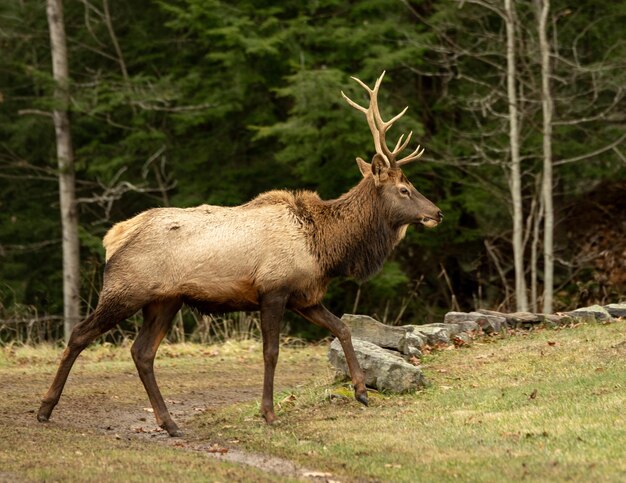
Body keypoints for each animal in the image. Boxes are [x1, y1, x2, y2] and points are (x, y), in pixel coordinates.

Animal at [36, 72, 442, 438]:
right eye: (404, 189)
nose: (436, 212)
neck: (325, 248)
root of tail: (113, 237)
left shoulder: (305, 296)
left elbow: (342, 328)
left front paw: (361, 391)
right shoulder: (273, 289)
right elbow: (271, 351)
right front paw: (269, 413)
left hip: (164, 301)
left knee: (142, 352)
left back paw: (170, 423)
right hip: (125, 289)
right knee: (80, 334)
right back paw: (45, 408)